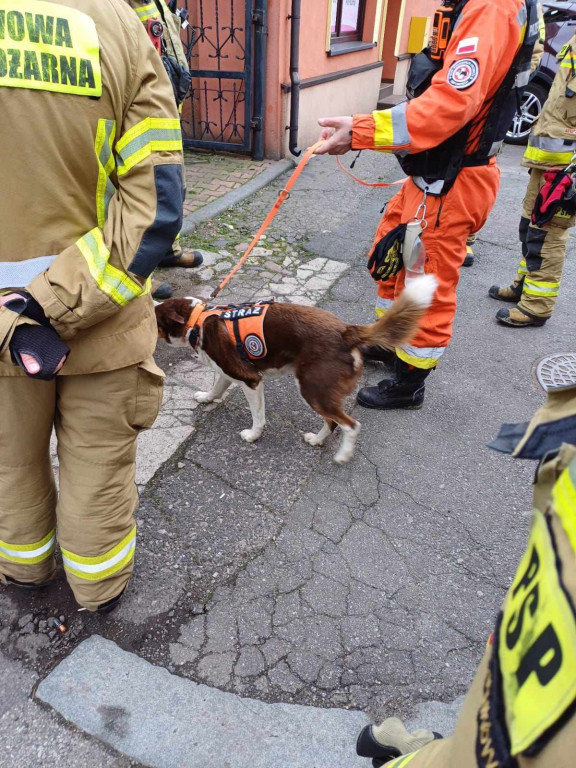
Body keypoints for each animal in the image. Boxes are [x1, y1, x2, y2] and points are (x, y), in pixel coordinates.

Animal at [154, 276, 436, 462]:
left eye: (154, 318)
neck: (197, 320)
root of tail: (346, 332)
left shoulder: (251, 380)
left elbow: (258, 416)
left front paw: (253, 435)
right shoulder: (227, 372)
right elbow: (217, 387)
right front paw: (206, 397)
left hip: (312, 389)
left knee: (349, 424)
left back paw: (343, 454)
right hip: (318, 391)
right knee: (332, 422)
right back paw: (317, 440)